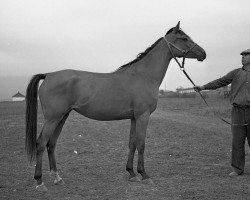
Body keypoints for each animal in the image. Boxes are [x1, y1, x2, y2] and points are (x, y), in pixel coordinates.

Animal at [25, 21, 206, 191]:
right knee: (41, 143)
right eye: (184, 38)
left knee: (51, 144)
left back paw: (57, 178)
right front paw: (144, 175)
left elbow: (132, 143)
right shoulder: (143, 116)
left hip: (62, 117)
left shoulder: (134, 117)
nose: (203, 54)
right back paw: (39, 181)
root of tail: (48, 75)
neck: (143, 76)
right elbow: (141, 144)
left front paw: (131, 173)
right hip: (53, 119)